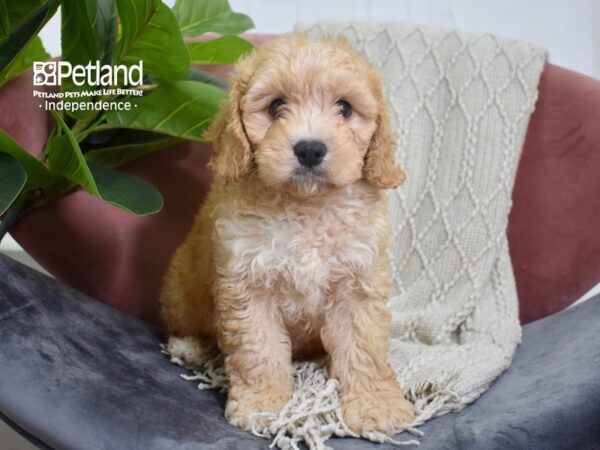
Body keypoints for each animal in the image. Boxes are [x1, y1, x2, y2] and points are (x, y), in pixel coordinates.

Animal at [159, 33, 414, 434]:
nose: (309, 148)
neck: (306, 208)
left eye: (344, 108)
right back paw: (192, 348)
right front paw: (263, 404)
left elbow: (365, 347)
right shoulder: (248, 284)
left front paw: (377, 405)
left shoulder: (358, 281)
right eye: (276, 106)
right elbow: (258, 349)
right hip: (181, 289)